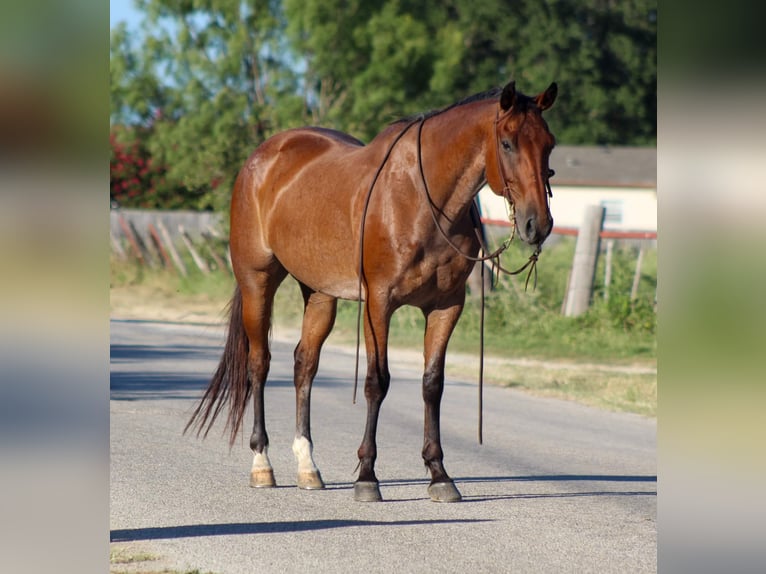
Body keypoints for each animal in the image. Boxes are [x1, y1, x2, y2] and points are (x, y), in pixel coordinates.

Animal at [186, 81, 560, 504]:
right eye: (508, 143)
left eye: (549, 143)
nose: (537, 224)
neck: (422, 200)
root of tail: (261, 158)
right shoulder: (379, 303)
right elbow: (376, 382)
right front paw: (367, 475)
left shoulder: (447, 306)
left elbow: (432, 384)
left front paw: (439, 474)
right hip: (257, 280)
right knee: (259, 364)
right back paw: (262, 464)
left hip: (319, 293)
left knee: (304, 365)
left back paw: (307, 466)